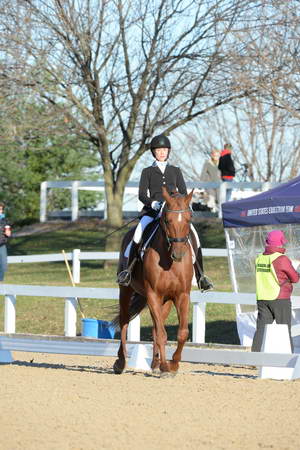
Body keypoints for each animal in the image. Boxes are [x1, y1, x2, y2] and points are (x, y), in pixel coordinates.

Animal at [113, 186, 195, 376]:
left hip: (165, 300)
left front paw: (173, 364)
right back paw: (121, 362)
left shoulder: (182, 295)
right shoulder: (153, 295)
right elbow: (162, 334)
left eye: (189, 218)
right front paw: (166, 366)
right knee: (124, 321)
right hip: (126, 290)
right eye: (167, 220)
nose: (178, 254)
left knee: (156, 327)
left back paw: (155, 363)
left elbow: (182, 332)